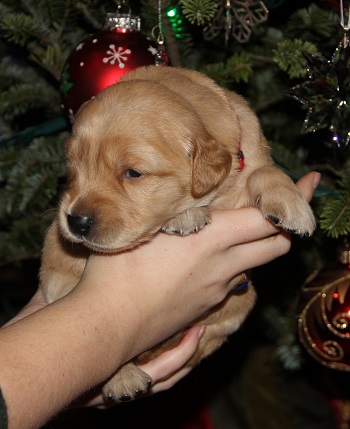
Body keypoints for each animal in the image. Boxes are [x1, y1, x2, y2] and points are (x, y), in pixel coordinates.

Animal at [39, 66, 316, 402]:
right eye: (73, 166)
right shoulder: (57, 265)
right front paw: (186, 214)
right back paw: (123, 379)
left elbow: (264, 171)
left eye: (133, 173)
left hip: (241, 305)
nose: (76, 222)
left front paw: (293, 205)